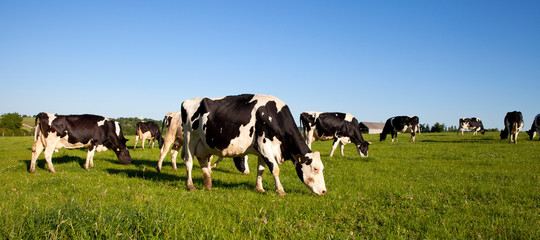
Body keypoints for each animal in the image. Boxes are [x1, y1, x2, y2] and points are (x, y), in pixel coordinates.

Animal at [181, 94, 326, 195]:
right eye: (315, 168)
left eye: (322, 168)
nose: (324, 191)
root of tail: (188, 101)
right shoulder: (264, 145)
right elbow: (275, 169)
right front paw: (280, 190)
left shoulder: (262, 151)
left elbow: (260, 169)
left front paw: (260, 188)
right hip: (189, 137)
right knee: (189, 162)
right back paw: (190, 186)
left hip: (203, 144)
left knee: (203, 162)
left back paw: (208, 185)